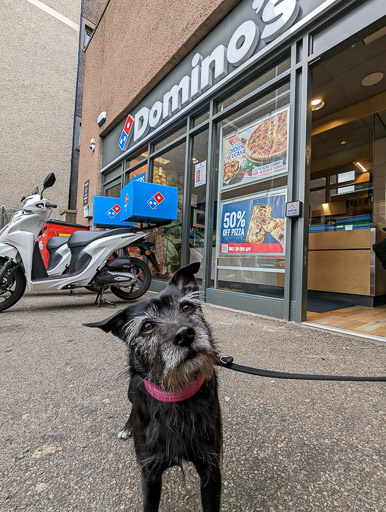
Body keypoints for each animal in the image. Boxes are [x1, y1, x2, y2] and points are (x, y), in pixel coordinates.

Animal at [85, 264, 222, 512]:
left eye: (187, 307)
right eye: (147, 326)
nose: (185, 334)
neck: (176, 393)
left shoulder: (211, 468)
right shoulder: (150, 473)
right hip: (131, 392)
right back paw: (127, 428)